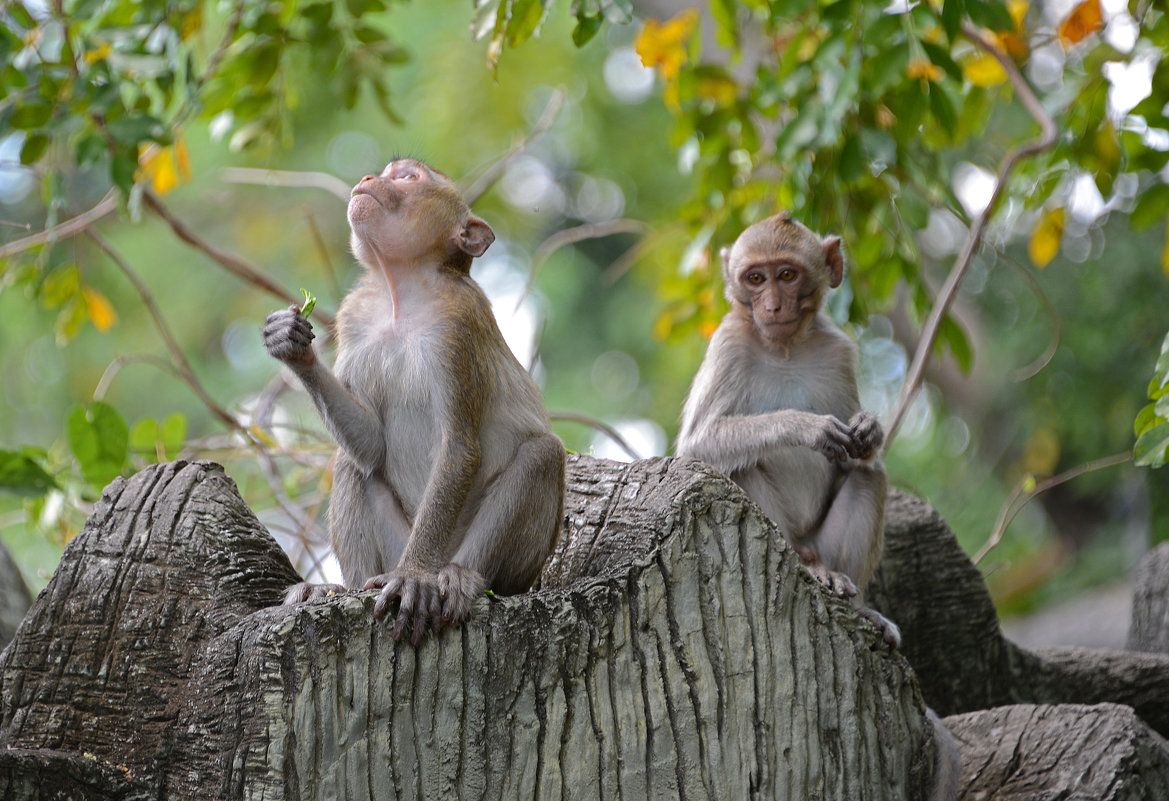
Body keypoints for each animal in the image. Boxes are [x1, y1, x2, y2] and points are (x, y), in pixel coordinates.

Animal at [263, 156, 563, 645]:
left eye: (406, 177)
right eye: (387, 172)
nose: (368, 179)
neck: (401, 292)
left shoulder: (458, 326)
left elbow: (459, 449)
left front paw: (414, 578)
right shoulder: (355, 318)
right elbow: (372, 446)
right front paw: (291, 345)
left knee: (543, 454)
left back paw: (458, 579)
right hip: (392, 546)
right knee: (353, 465)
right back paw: (337, 589)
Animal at [673, 210, 897, 645]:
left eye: (788, 275)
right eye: (756, 279)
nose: (773, 306)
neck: (785, 348)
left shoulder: (839, 351)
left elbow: (855, 458)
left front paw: (870, 431)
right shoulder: (727, 344)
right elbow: (696, 446)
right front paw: (807, 428)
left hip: (822, 542)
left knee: (870, 475)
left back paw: (853, 600)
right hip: (789, 540)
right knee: (738, 464)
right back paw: (810, 568)